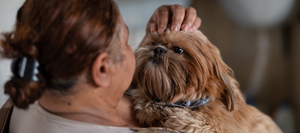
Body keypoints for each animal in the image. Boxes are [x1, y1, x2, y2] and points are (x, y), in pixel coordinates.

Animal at [131, 28, 282, 132]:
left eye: (178, 49)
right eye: (153, 43)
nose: (158, 49)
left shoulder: (210, 127)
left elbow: (185, 119)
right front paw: (149, 107)